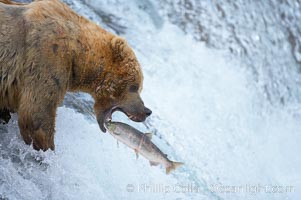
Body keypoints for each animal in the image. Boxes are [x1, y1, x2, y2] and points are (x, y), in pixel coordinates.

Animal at [0, 0, 150, 150]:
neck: (78, 56)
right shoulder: (47, 59)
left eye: (140, 87)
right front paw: (47, 149)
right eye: (135, 87)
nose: (147, 111)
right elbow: (37, 115)